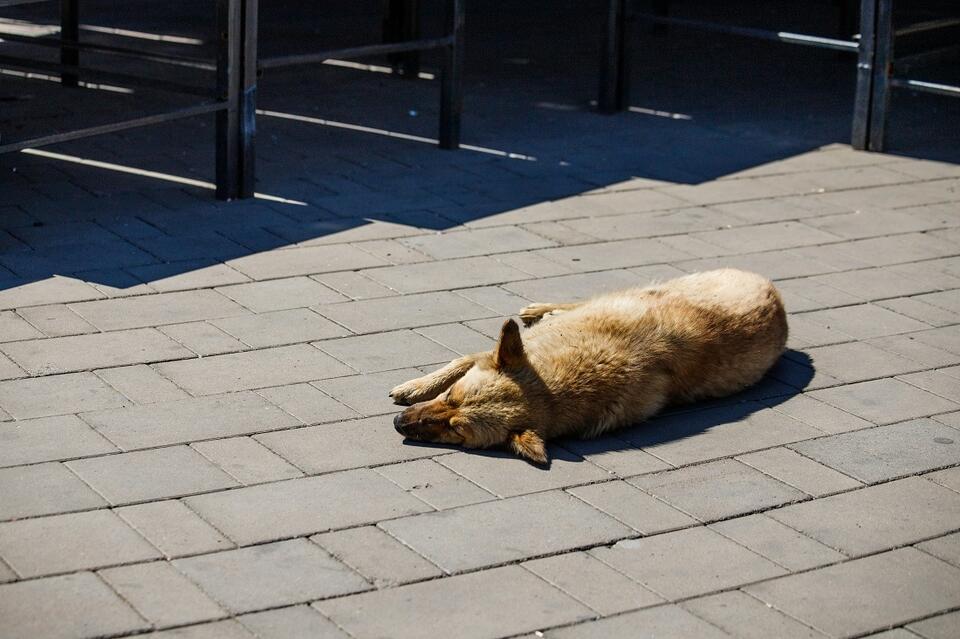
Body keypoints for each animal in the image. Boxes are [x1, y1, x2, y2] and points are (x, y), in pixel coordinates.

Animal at [390, 270, 788, 464]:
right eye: (450, 397)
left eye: (456, 430)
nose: (398, 424)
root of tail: (777, 297)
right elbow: (461, 360)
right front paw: (418, 385)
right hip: (641, 291)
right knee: (577, 302)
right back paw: (542, 310)